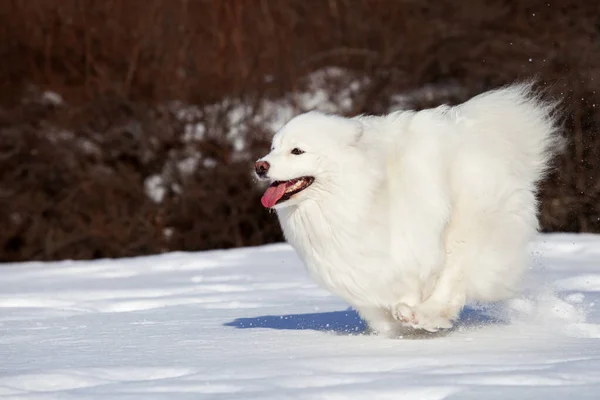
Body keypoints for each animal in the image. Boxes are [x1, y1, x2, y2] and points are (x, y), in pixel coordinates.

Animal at [253, 83, 564, 336]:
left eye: (297, 151)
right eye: (272, 148)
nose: (260, 165)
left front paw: (420, 321)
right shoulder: (356, 273)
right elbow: (378, 309)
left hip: (468, 226)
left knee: (454, 277)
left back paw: (424, 314)